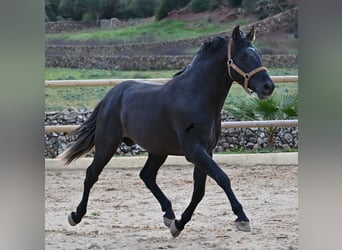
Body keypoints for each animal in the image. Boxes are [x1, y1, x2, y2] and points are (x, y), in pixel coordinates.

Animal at [60, 25, 276, 236]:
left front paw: (179, 225)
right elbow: (222, 178)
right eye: (244, 56)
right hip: (107, 144)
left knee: (147, 176)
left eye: (259, 54)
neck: (196, 96)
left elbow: (199, 191)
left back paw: (169, 215)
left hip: (157, 150)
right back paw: (75, 216)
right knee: (92, 174)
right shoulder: (194, 151)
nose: (268, 87)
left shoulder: (206, 151)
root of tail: (111, 96)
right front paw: (242, 218)